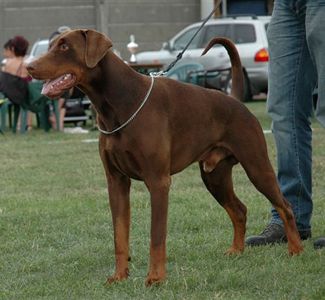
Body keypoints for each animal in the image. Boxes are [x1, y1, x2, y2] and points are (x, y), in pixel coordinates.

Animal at [26, 29, 302, 286]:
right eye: (51, 45)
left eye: (64, 46)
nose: (29, 67)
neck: (118, 102)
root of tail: (234, 100)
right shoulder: (116, 182)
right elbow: (119, 235)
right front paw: (120, 276)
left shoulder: (157, 181)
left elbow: (156, 236)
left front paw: (156, 278)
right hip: (215, 176)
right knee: (239, 210)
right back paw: (236, 250)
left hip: (256, 165)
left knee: (285, 205)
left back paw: (296, 250)